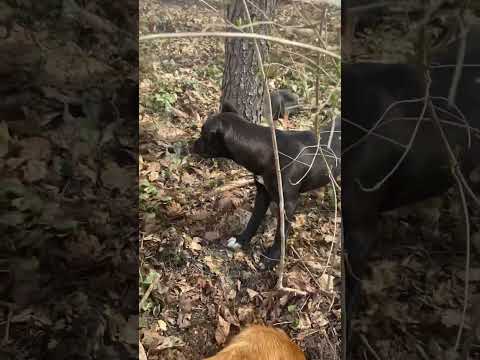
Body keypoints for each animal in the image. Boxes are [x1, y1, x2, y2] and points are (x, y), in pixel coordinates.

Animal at [192, 101, 342, 262]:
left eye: (203, 134)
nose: (192, 145)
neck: (270, 151)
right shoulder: (262, 192)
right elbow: (254, 219)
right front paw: (241, 240)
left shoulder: (288, 204)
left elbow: (280, 234)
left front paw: (272, 259)